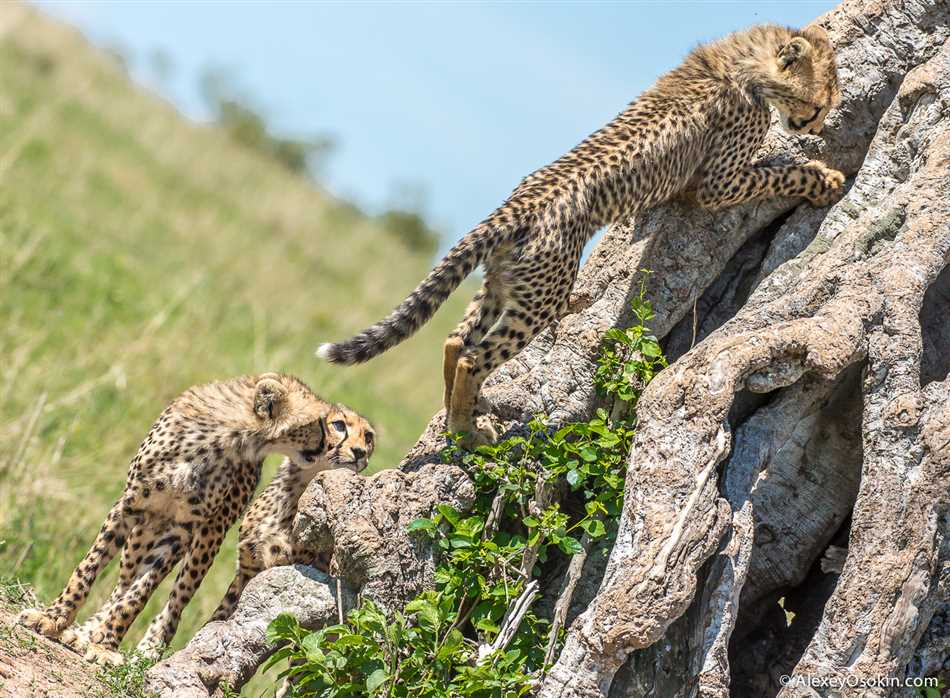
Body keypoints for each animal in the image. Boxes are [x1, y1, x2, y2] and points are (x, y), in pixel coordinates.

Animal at [15, 372, 338, 660]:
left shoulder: (183, 531)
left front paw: (105, 644)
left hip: (207, 541)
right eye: (318, 423)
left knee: (177, 596)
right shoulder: (130, 505)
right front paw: (54, 617)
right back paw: (86, 631)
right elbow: (88, 568)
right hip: (141, 535)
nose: (329, 447)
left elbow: (140, 593)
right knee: (121, 584)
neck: (224, 438)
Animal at [208, 402, 376, 620]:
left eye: (368, 437)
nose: (360, 452)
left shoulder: (281, 562)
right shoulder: (246, 567)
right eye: (339, 425)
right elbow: (218, 615)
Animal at [316, 23, 844, 446]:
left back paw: (458, 416)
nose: (816, 123)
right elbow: (777, 173)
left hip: (504, 283)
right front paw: (825, 179)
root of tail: (514, 206)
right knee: (473, 357)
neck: (744, 60)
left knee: (454, 341)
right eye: (817, 102)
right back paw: (467, 433)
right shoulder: (717, 184)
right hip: (543, 297)